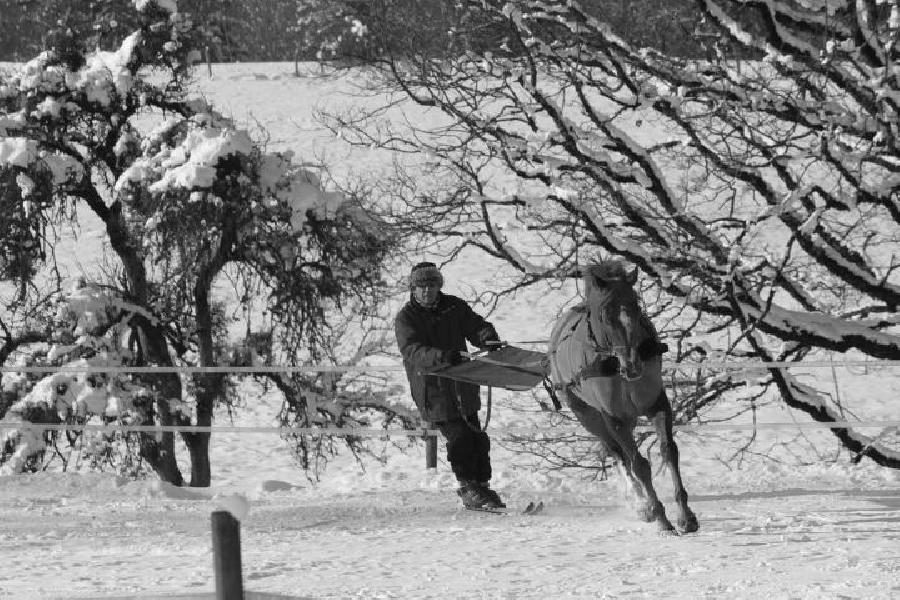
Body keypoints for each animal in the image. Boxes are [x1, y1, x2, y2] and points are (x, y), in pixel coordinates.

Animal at [548, 260, 696, 532]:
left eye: (636, 306)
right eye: (606, 313)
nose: (632, 364)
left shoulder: (657, 404)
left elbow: (669, 451)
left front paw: (686, 517)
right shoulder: (613, 418)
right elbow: (638, 464)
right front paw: (660, 516)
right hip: (588, 416)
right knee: (616, 453)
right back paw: (641, 505)